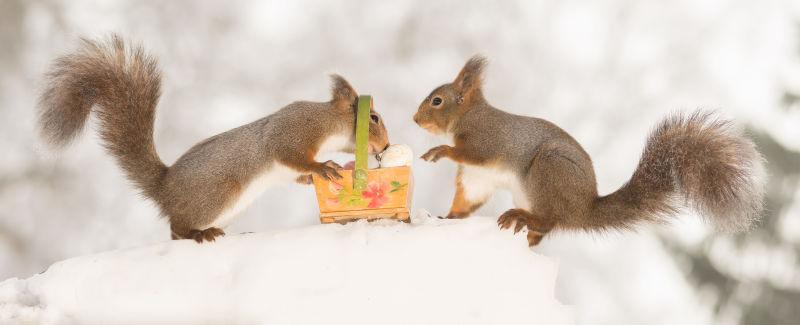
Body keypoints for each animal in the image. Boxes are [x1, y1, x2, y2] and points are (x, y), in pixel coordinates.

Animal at [38, 36, 390, 243]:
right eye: (374, 118)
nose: (385, 147)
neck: (328, 121)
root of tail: (165, 189)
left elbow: (296, 173)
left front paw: (316, 175)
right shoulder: (293, 130)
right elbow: (291, 154)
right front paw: (323, 167)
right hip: (217, 195)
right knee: (176, 230)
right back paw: (198, 234)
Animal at [416, 55, 764, 246]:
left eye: (437, 101)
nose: (415, 119)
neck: (468, 116)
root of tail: (584, 209)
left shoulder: (487, 143)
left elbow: (467, 152)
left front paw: (438, 151)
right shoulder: (477, 178)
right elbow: (466, 201)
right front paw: (446, 217)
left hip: (548, 172)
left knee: (549, 219)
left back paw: (521, 217)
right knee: (545, 229)